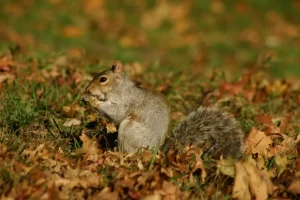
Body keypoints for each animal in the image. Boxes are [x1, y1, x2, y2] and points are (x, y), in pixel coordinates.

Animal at [81, 60, 244, 159]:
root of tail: (156, 152)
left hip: (129, 130)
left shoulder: (125, 102)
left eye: (103, 79)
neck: (120, 88)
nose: (88, 89)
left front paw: (92, 100)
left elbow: (116, 113)